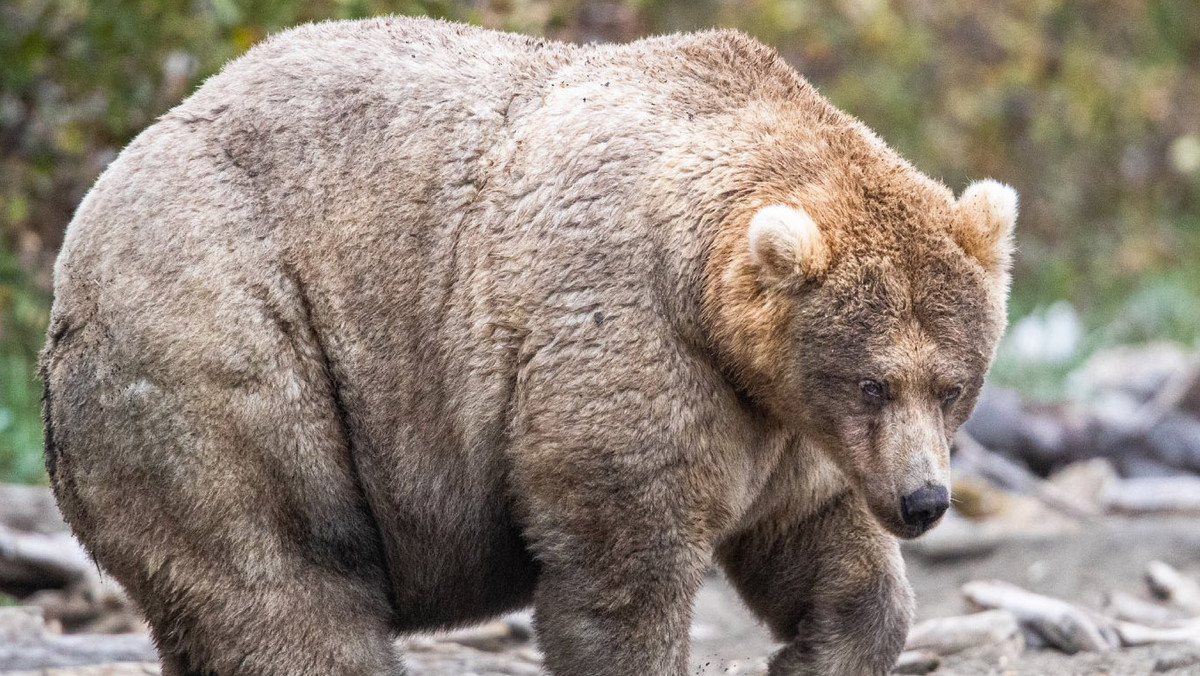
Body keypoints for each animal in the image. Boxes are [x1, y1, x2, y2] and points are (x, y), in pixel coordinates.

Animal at [39, 15, 1012, 676]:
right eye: (872, 383)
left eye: (953, 385)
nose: (925, 500)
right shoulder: (629, 339)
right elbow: (624, 569)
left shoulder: (780, 419)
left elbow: (821, 542)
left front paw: (808, 653)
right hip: (226, 348)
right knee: (282, 580)